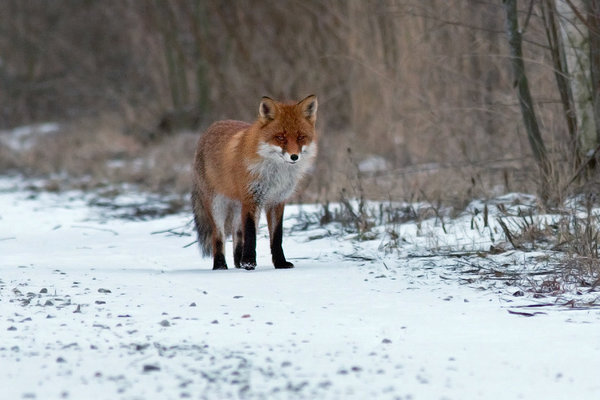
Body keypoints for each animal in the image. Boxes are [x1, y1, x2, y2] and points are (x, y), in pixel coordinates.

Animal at [192, 94, 318, 270]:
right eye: (280, 137)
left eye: (301, 137)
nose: (294, 157)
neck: (275, 174)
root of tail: (211, 127)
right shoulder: (252, 199)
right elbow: (251, 233)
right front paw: (249, 262)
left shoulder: (277, 201)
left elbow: (276, 237)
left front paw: (280, 263)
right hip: (217, 206)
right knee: (218, 236)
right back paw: (220, 265)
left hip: (238, 207)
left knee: (237, 234)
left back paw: (238, 262)